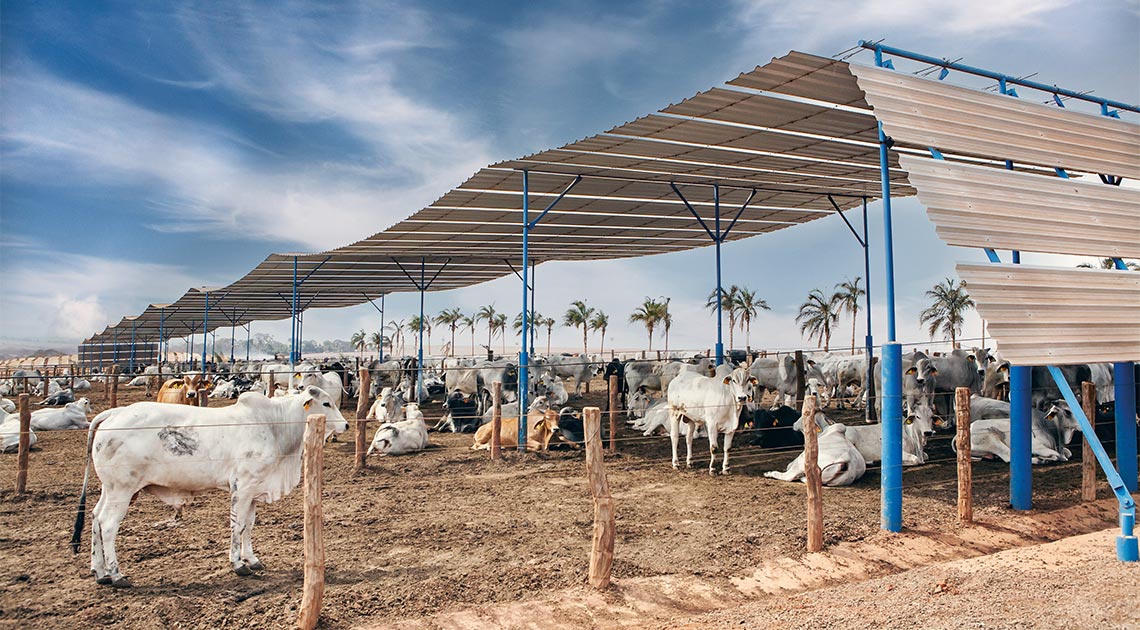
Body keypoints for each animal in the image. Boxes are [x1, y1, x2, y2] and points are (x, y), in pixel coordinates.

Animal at [71, 385, 346, 587]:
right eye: (326, 404)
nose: (345, 425)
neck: (273, 426)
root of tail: (115, 413)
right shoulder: (242, 487)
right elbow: (237, 526)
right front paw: (238, 564)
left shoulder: (254, 490)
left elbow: (249, 526)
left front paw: (252, 559)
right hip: (123, 490)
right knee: (108, 525)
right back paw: (117, 575)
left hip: (110, 489)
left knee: (95, 518)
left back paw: (100, 572)